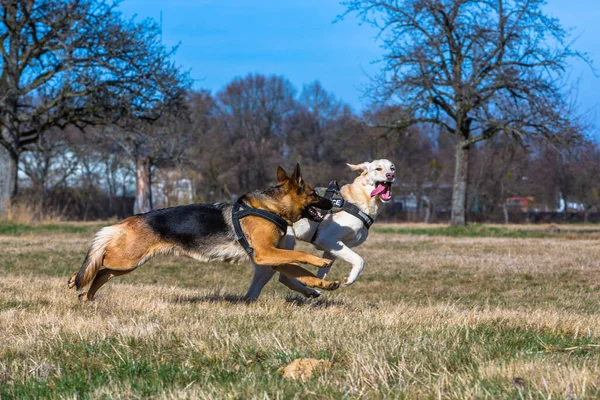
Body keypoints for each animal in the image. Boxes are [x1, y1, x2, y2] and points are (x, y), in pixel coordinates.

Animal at [68, 164, 340, 302]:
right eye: (314, 194)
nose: (332, 203)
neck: (270, 207)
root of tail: (127, 221)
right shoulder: (266, 253)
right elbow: (302, 258)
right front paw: (321, 261)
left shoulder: (272, 257)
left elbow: (301, 273)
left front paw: (324, 284)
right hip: (126, 260)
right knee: (99, 262)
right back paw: (76, 279)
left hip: (127, 264)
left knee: (101, 273)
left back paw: (85, 295)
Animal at [244, 159, 394, 300]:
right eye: (378, 168)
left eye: (392, 168)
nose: (390, 175)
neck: (363, 199)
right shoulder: (327, 239)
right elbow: (360, 260)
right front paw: (349, 279)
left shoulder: (333, 248)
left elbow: (322, 272)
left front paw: (323, 285)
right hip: (283, 247)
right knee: (283, 276)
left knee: (256, 289)